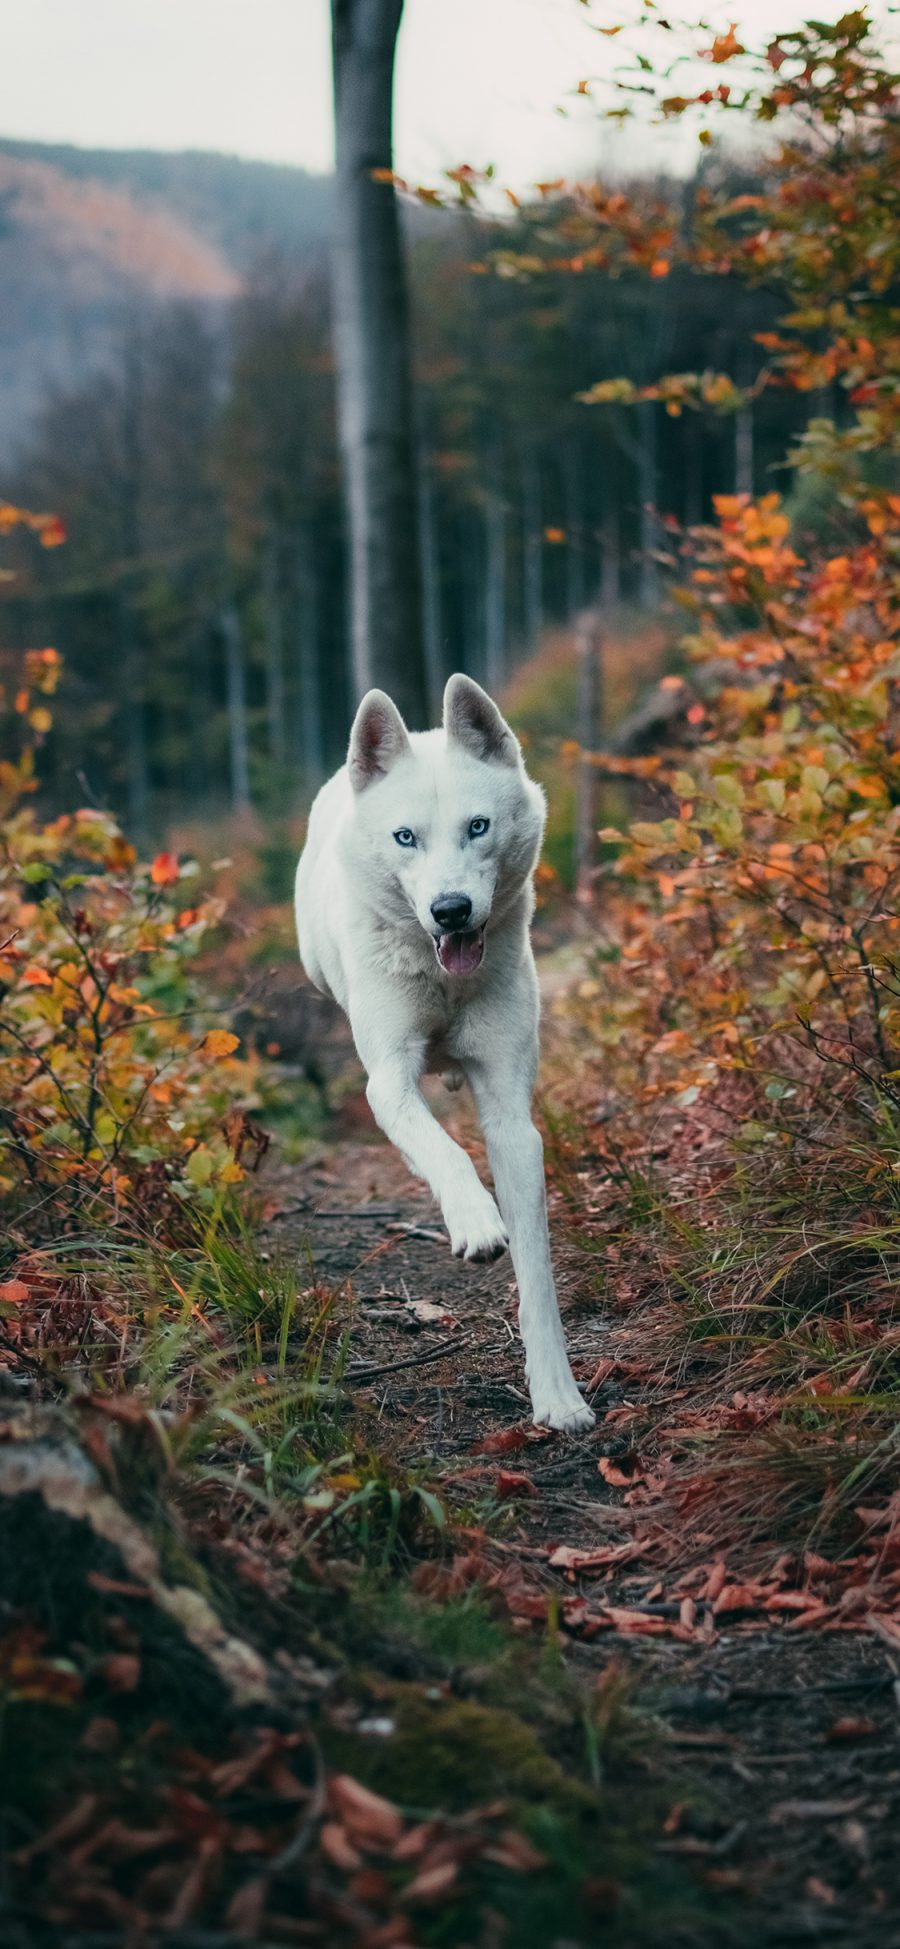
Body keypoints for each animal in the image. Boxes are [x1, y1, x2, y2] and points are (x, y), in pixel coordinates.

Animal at [292, 674, 592, 1434]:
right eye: (407, 838)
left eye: (477, 827)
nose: (451, 909)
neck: (444, 979)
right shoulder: (387, 1082)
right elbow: (445, 1151)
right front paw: (477, 1220)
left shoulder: (512, 1116)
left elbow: (537, 1273)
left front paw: (558, 1396)